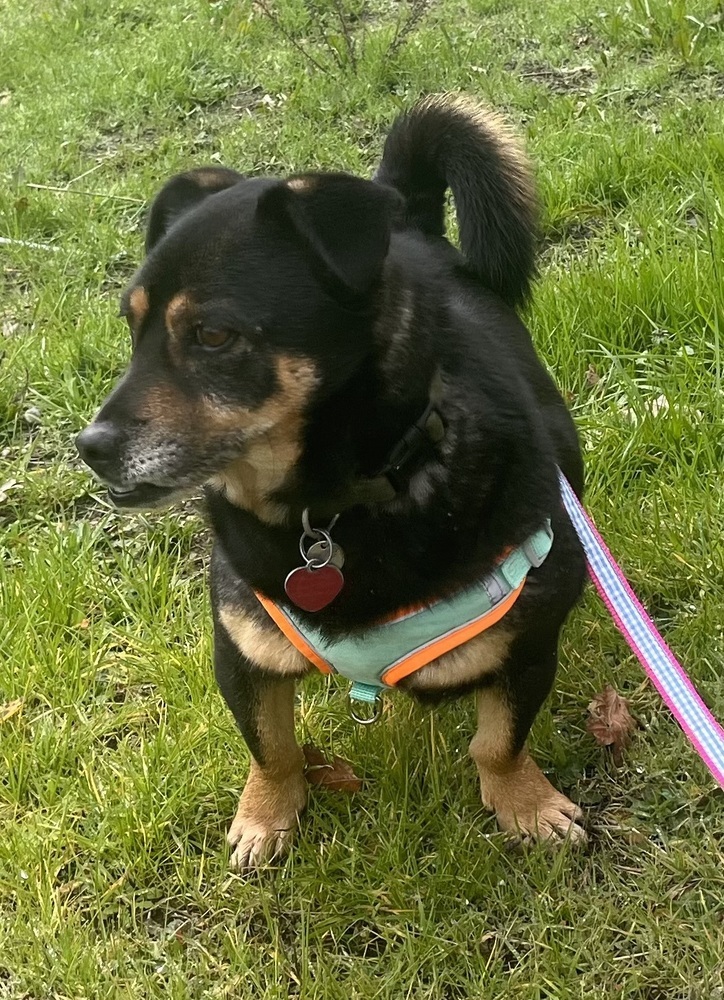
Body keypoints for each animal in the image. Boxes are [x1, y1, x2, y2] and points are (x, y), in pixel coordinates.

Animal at [78, 97, 588, 872]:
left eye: (213, 335)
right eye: (132, 329)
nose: (91, 448)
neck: (330, 505)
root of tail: (406, 218)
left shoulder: (527, 641)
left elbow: (498, 741)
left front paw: (525, 806)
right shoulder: (241, 649)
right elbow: (272, 747)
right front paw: (266, 817)